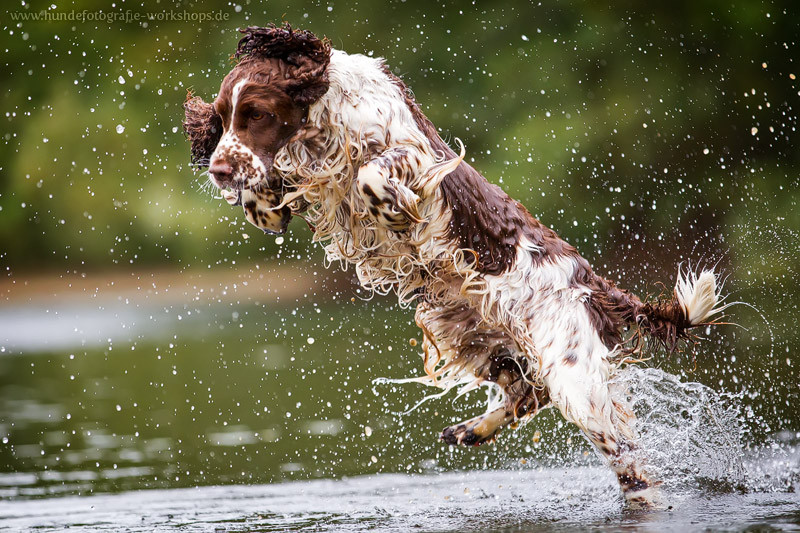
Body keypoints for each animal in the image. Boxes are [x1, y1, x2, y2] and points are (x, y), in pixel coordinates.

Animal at [184, 26, 728, 508]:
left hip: (571, 371)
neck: (323, 125)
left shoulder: (411, 154)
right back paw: (472, 429)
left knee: (627, 459)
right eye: (223, 118)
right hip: (467, 331)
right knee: (527, 390)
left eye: (257, 113)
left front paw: (393, 211)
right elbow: (275, 188)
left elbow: (370, 176)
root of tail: (595, 284)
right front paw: (266, 205)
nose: (219, 171)